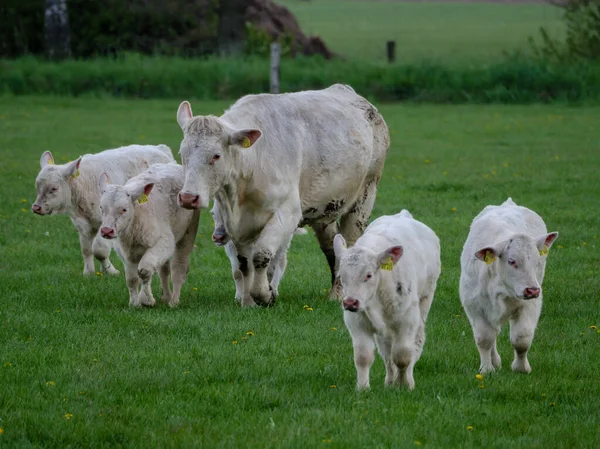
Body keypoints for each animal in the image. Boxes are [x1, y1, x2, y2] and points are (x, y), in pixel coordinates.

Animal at [31, 145, 173, 274]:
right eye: (37, 185)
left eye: (54, 188)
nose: (36, 207)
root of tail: (160, 148)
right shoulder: (82, 225)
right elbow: (86, 250)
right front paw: (88, 272)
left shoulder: (104, 224)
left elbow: (99, 250)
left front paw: (110, 271)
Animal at [98, 164, 200, 308]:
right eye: (101, 207)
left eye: (124, 209)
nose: (107, 231)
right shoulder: (126, 253)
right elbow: (132, 278)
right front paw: (134, 303)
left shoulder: (164, 242)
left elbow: (144, 271)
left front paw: (146, 299)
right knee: (164, 270)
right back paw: (166, 296)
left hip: (188, 232)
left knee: (178, 267)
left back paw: (174, 301)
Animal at [176, 84, 392, 306]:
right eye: (182, 154)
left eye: (216, 156)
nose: (188, 197)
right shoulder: (236, 224)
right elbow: (244, 264)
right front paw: (247, 302)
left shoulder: (287, 213)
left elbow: (261, 255)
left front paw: (265, 294)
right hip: (326, 211)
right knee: (332, 246)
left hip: (365, 195)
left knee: (350, 242)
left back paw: (338, 294)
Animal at [332, 210, 440, 388]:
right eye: (341, 277)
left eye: (368, 275)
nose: (350, 302)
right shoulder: (356, 321)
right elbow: (363, 356)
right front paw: (363, 387)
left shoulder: (408, 320)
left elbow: (402, 355)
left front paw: (404, 384)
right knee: (386, 351)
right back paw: (389, 380)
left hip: (425, 301)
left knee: (415, 344)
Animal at [462, 198, 560, 372]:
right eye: (512, 261)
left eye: (537, 261)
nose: (532, 290)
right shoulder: (473, 305)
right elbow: (484, 339)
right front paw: (487, 369)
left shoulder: (531, 304)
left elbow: (522, 338)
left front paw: (521, 368)